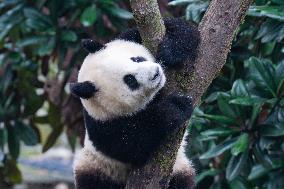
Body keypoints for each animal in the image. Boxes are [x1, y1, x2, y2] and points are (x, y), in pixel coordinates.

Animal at [70, 18, 200, 189]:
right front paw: (174, 108)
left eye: (136, 59)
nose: (156, 73)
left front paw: (171, 50)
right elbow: (131, 143)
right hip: (95, 167)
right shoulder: (101, 124)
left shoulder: (129, 37)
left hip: (179, 167)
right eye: (130, 80)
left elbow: (181, 27)